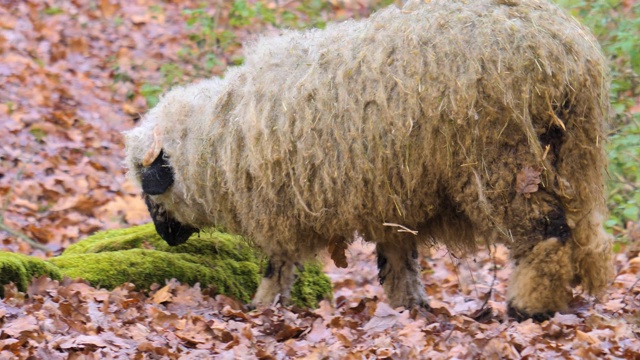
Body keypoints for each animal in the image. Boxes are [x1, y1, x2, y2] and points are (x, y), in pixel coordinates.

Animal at [122, 0, 612, 320]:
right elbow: (398, 264)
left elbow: (278, 266)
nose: (166, 239)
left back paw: (528, 306)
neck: (218, 140)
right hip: (571, 156)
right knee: (586, 234)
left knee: (548, 234)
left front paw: (259, 308)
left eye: (147, 184)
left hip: (506, 163)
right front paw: (411, 310)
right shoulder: (389, 201)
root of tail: (569, 53)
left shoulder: (278, 211)